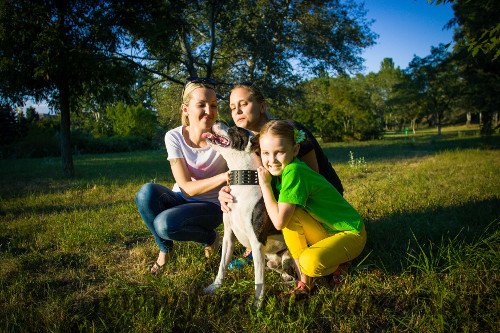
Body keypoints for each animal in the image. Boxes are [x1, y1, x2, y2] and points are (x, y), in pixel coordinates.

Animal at [201, 121, 292, 306]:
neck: (242, 181)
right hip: (270, 261)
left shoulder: (256, 243)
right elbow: (222, 265)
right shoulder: (229, 237)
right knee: (279, 270)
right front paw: (215, 286)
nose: (216, 121)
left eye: (234, 129)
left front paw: (257, 304)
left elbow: (259, 279)